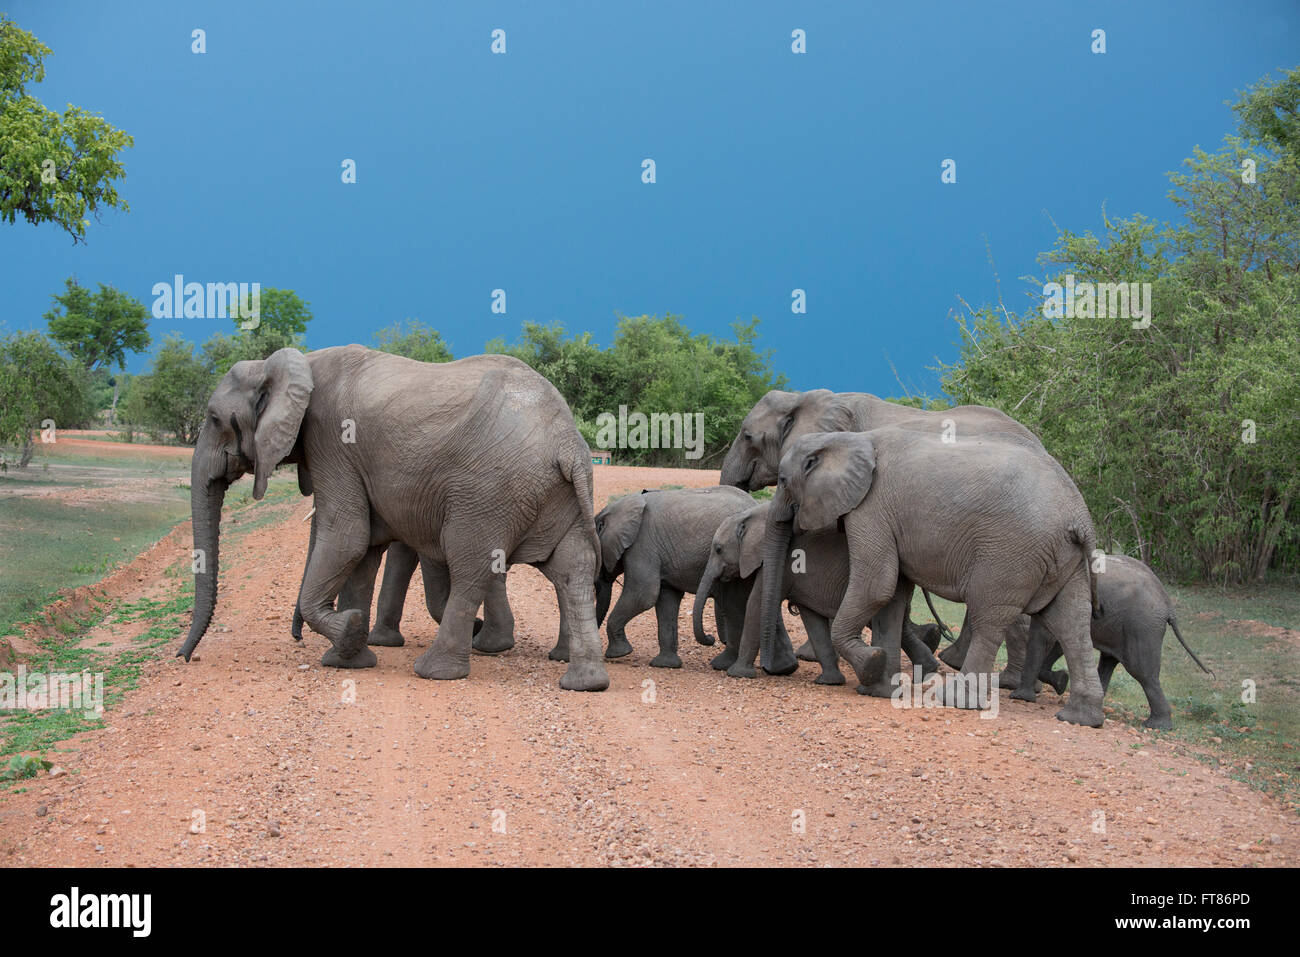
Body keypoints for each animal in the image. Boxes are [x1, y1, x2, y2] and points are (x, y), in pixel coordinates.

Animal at [175, 348, 611, 691]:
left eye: (213, 419)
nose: (184, 658)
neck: (292, 363)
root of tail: (568, 443)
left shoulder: (332, 440)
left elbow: (348, 536)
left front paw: (351, 633)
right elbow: (363, 550)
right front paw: (348, 659)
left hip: (489, 491)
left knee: (471, 566)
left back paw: (435, 671)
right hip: (555, 493)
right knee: (571, 569)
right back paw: (584, 682)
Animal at [759, 429, 1107, 722]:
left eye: (783, 480)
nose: (774, 669)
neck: (849, 438)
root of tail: (1080, 517)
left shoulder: (871, 508)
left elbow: (876, 585)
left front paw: (871, 666)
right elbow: (892, 597)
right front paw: (879, 689)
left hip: (1011, 553)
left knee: (989, 618)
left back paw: (955, 700)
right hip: (1066, 559)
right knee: (1071, 622)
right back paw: (1080, 718)